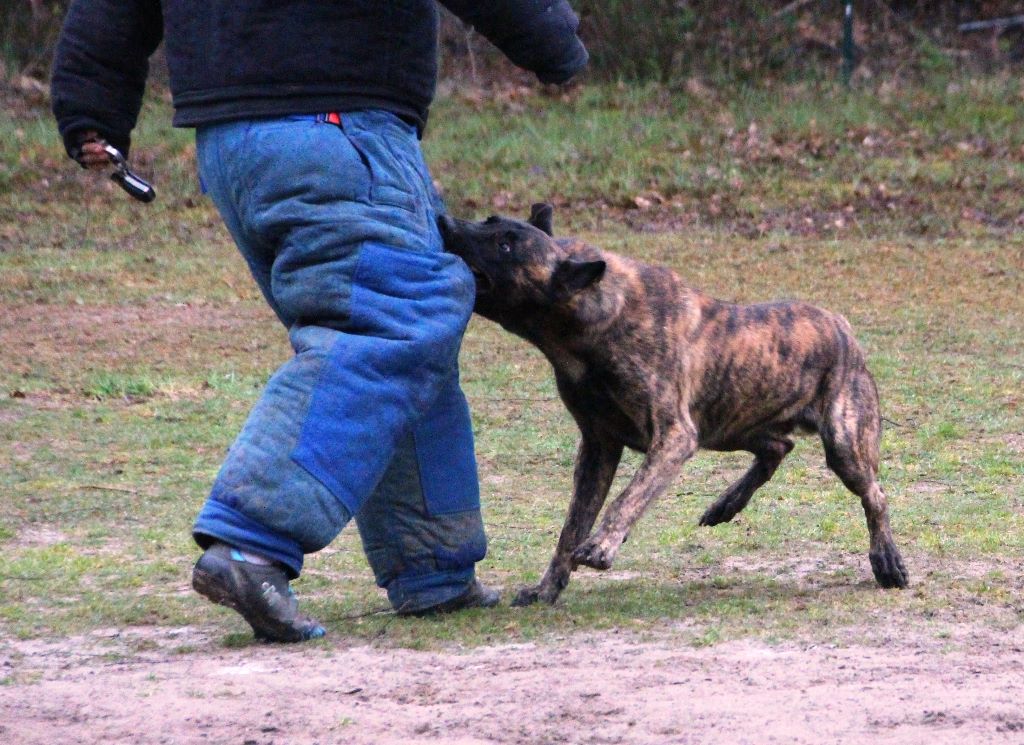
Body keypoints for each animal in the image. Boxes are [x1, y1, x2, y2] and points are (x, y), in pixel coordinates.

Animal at [436, 202, 909, 605]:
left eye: (506, 246)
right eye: (489, 221)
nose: (444, 222)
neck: (596, 316)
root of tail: (843, 327)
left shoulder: (673, 437)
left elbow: (628, 497)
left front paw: (603, 544)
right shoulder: (598, 447)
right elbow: (571, 528)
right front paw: (547, 588)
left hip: (843, 442)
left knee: (875, 494)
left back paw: (886, 559)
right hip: (730, 423)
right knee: (778, 447)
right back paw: (727, 503)